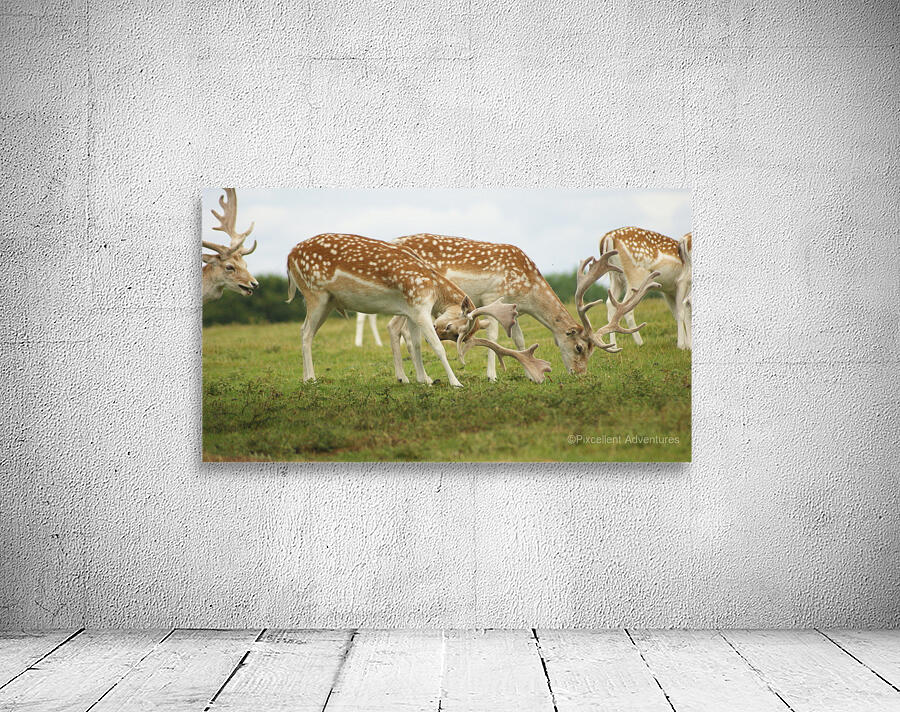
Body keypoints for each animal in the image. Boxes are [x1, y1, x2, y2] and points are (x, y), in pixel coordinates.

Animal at [286, 234, 552, 387]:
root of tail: (288, 258)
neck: (434, 289)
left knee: (303, 330)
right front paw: (455, 382)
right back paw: (311, 379)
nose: (440, 329)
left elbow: (414, 344)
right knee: (306, 333)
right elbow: (435, 347)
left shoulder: (411, 310)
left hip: (328, 301)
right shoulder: (420, 308)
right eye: (452, 328)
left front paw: (425, 380)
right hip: (315, 295)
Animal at [388, 234, 658, 380]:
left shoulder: (513, 308)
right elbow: (493, 336)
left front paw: (531, 373)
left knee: (398, 328)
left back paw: (409, 377)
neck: (528, 290)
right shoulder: (493, 296)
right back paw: (410, 377)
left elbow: (519, 339)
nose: (580, 374)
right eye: (580, 347)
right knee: (397, 327)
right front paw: (492, 375)